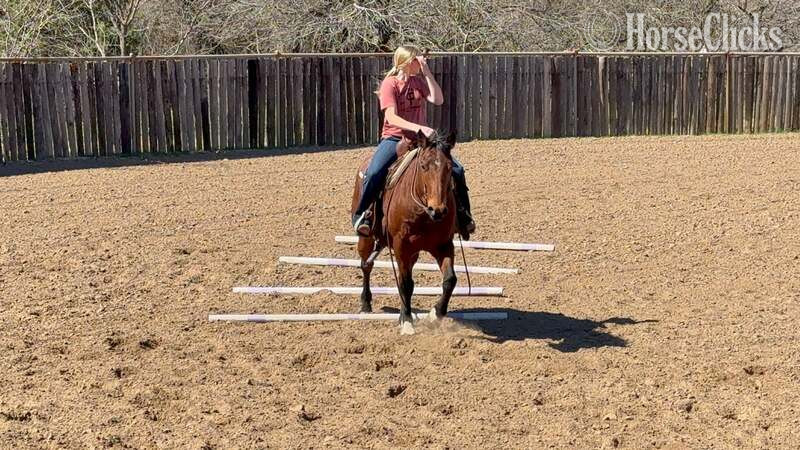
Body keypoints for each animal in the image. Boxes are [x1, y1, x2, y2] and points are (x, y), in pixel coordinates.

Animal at [350, 130, 459, 335]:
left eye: (449, 168)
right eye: (423, 166)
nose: (438, 210)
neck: (424, 213)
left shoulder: (444, 245)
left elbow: (450, 280)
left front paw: (436, 313)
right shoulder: (402, 246)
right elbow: (407, 284)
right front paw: (407, 322)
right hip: (366, 238)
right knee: (366, 265)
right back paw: (366, 303)